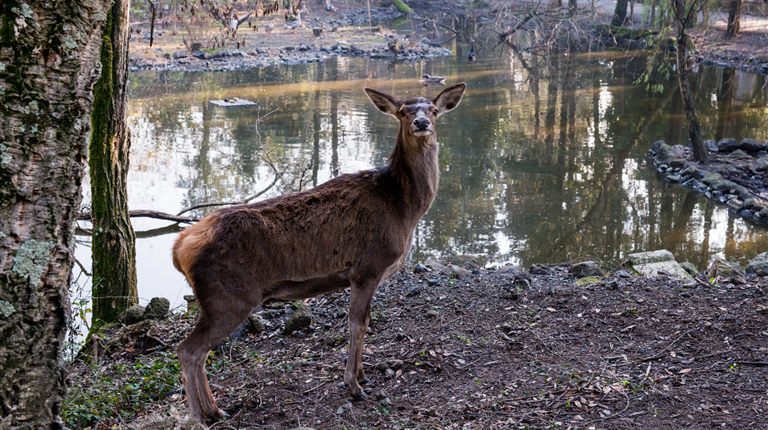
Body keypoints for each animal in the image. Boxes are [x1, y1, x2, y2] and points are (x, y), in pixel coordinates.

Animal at [172, 82, 464, 422]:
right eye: (404, 111)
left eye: (433, 110)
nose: (421, 123)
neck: (403, 208)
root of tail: (179, 247)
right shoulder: (367, 267)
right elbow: (357, 323)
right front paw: (353, 386)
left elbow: (365, 322)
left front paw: (362, 375)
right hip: (228, 297)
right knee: (189, 350)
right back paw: (198, 417)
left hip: (219, 299)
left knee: (199, 351)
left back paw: (216, 410)